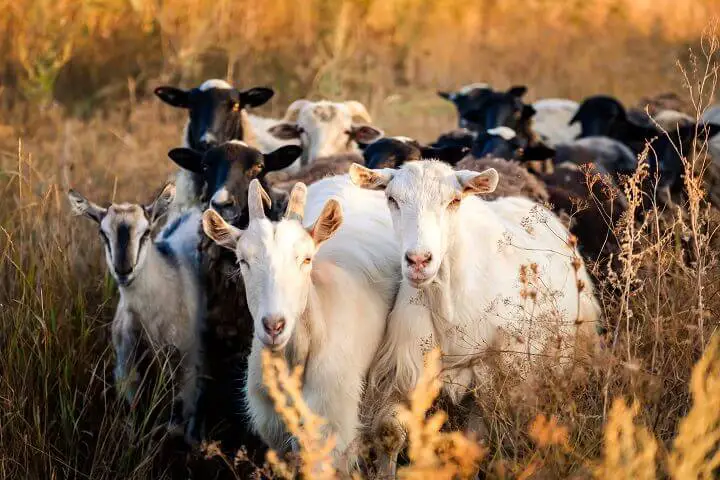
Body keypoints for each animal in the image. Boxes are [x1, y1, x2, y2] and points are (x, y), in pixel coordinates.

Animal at [67, 184, 204, 442]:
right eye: (102, 233)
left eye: (147, 231)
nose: (124, 270)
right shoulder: (126, 367)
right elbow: (135, 416)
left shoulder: (187, 363)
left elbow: (178, 421)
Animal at [348, 161, 600, 476]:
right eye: (392, 199)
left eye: (454, 200)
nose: (418, 261)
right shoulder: (403, 371)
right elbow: (390, 433)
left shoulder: (495, 380)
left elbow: (478, 443)